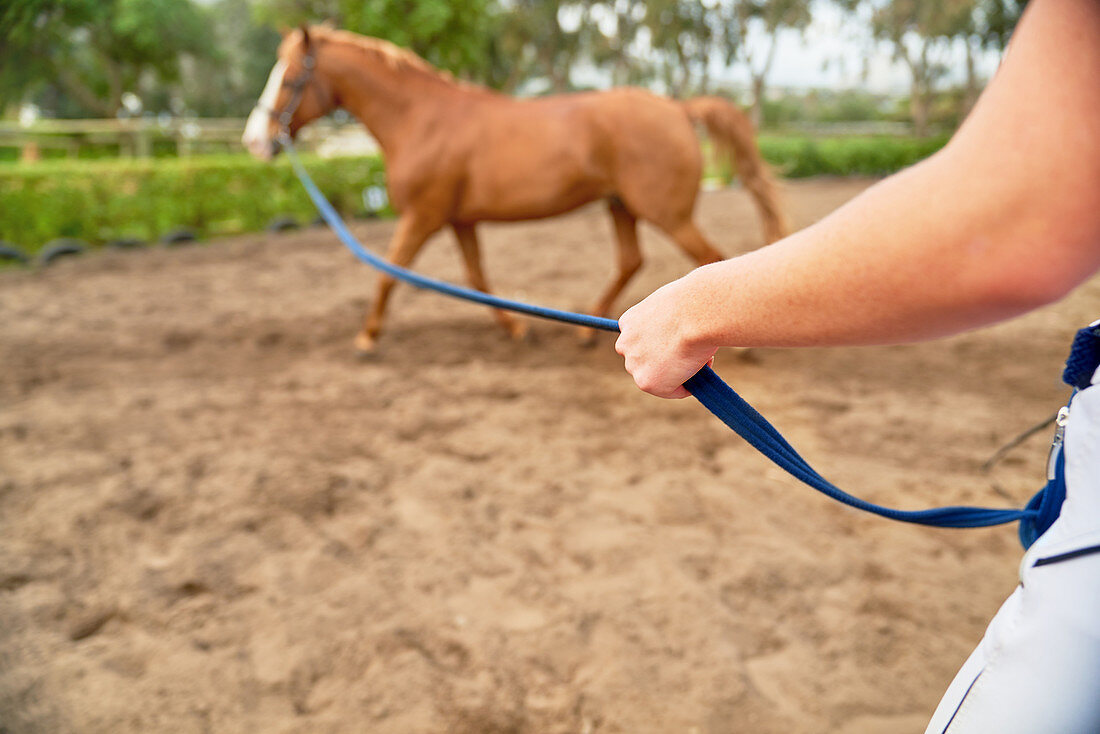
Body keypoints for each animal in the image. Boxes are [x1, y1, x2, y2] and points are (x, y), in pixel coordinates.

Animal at [245, 27, 787, 352]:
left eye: (289, 78)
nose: (255, 140)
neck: (422, 120)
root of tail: (677, 108)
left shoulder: (423, 216)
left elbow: (388, 272)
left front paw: (367, 336)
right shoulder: (459, 220)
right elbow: (477, 278)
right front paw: (516, 326)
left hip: (666, 214)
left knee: (708, 260)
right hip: (621, 207)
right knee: (631, 261)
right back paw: (591, 331)